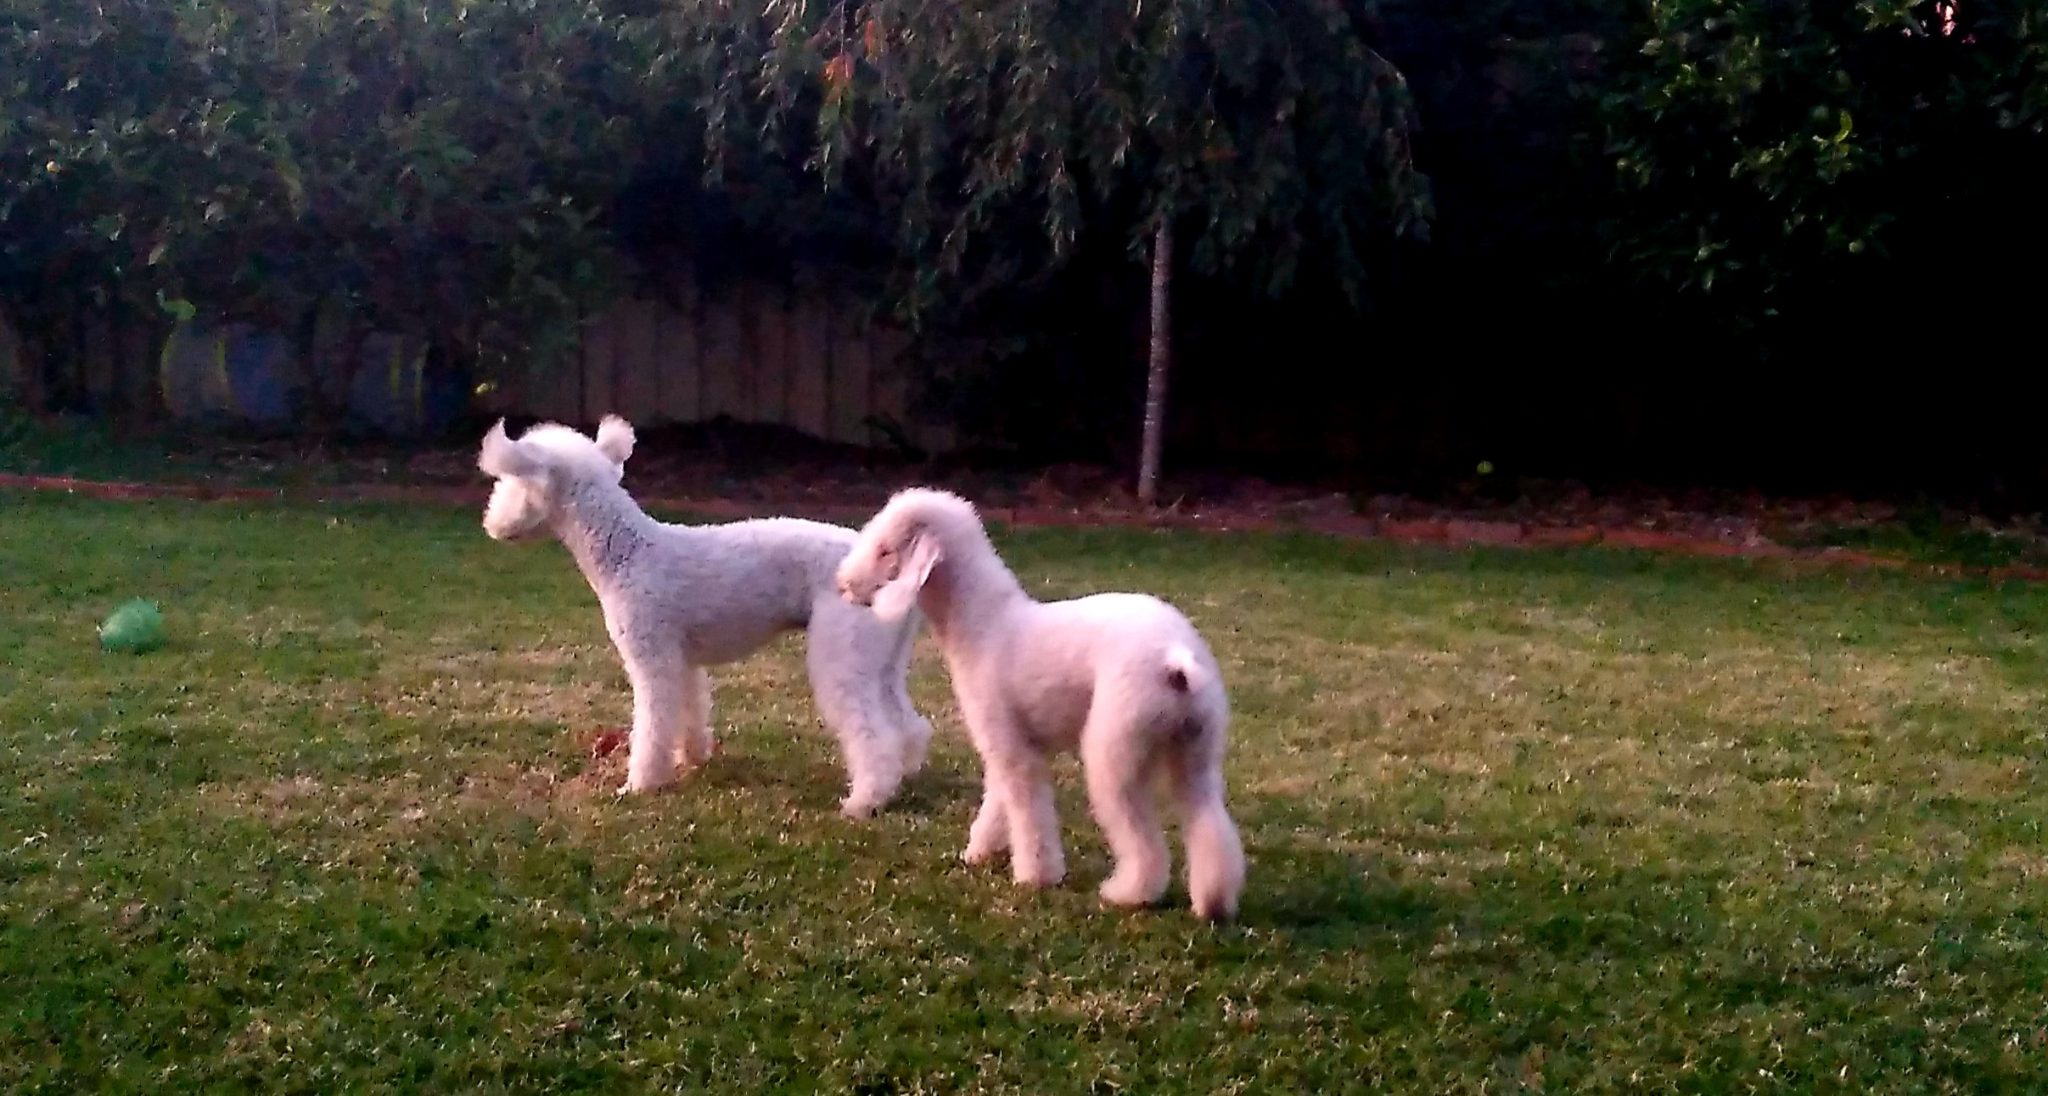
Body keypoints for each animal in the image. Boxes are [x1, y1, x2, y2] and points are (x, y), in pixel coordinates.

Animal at [475, 415, 933, 819]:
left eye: (511, 482)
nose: (492, 526)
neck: (627, 552)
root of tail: (887, 568)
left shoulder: (652, 659)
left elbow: (653, 725)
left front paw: (640, 784)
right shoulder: (683, 661)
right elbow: (690, 709)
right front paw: (691, 757)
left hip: (842, 654)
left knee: (873, 736)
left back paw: (865, 801)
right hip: (881, 660)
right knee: (906, 725)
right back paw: (903, 775)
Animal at [835, 487, 1245, 917]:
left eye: (884, 550)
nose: (842, 584)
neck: (985, 623)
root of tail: (1176, 658)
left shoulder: (1011, 746)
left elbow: (1028, 811)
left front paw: (1035, 876)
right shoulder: (1004, 742)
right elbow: (999, 800)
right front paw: (981, 851)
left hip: (1118, 746)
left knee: (1141, 837)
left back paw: (1128, 893)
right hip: (1196, 747)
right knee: (1208, 821)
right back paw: (1213, 904)